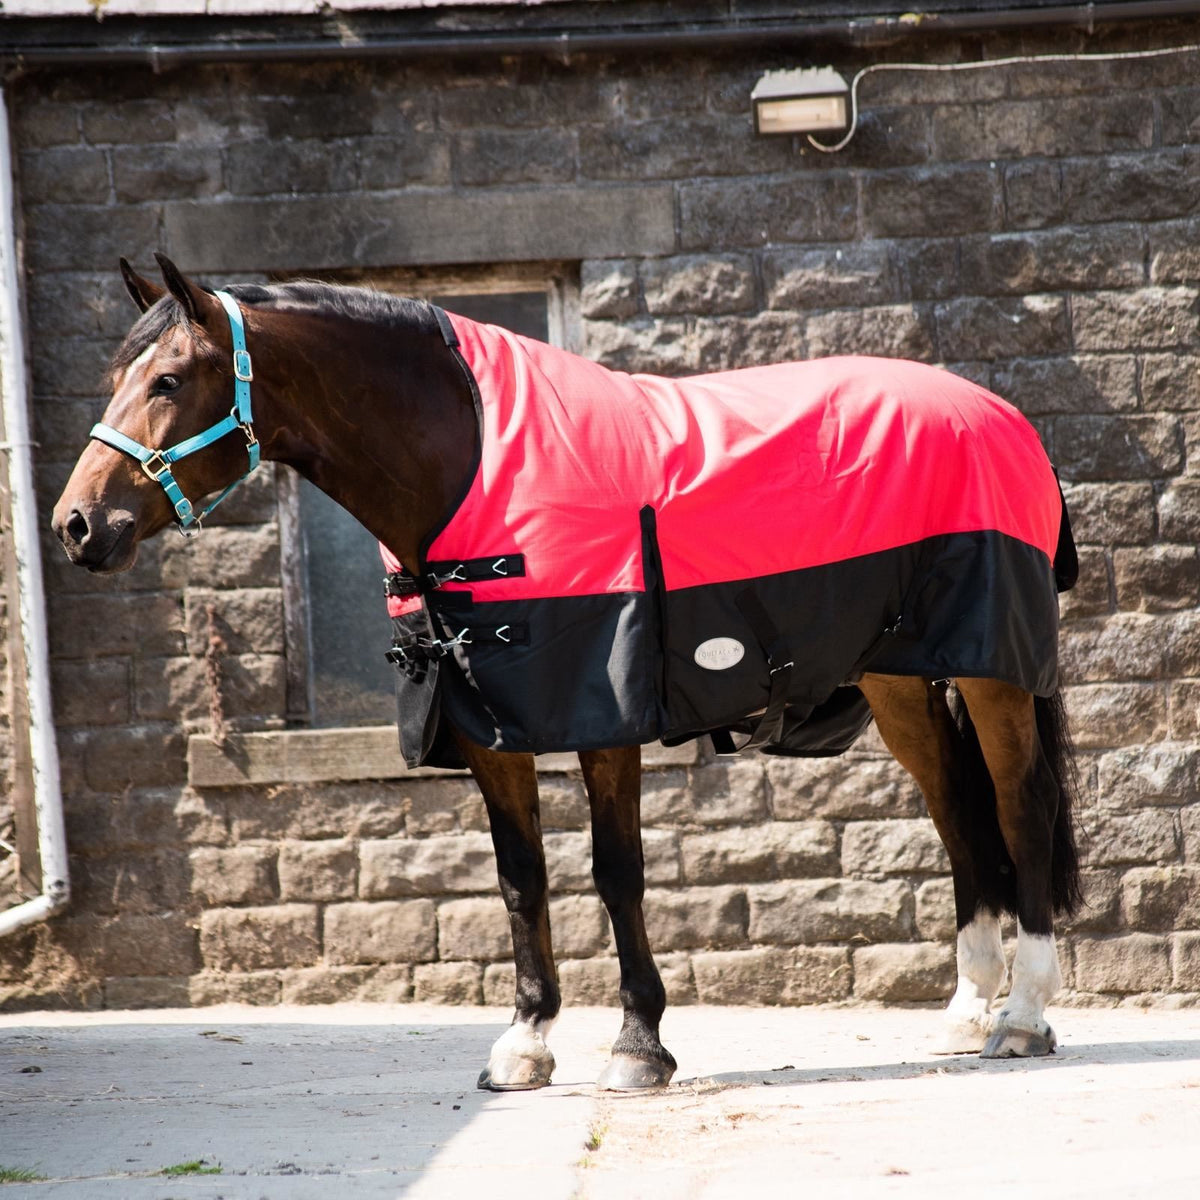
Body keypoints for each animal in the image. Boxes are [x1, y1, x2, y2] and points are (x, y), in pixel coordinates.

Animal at [52, 253, 1082, 1091]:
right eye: (114, 378)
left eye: (169, 379)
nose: (76, 526)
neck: (471, 465)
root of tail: (998, 412)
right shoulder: (485, 726)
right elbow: (521, 877)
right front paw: (525, 1042)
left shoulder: (607, 715)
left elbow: (616, 871)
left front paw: (638, 1045)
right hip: (899, 678)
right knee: (956, 810)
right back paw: (967, 1012)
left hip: (993, 673)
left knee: (1019, 807)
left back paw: (1023, 1017)